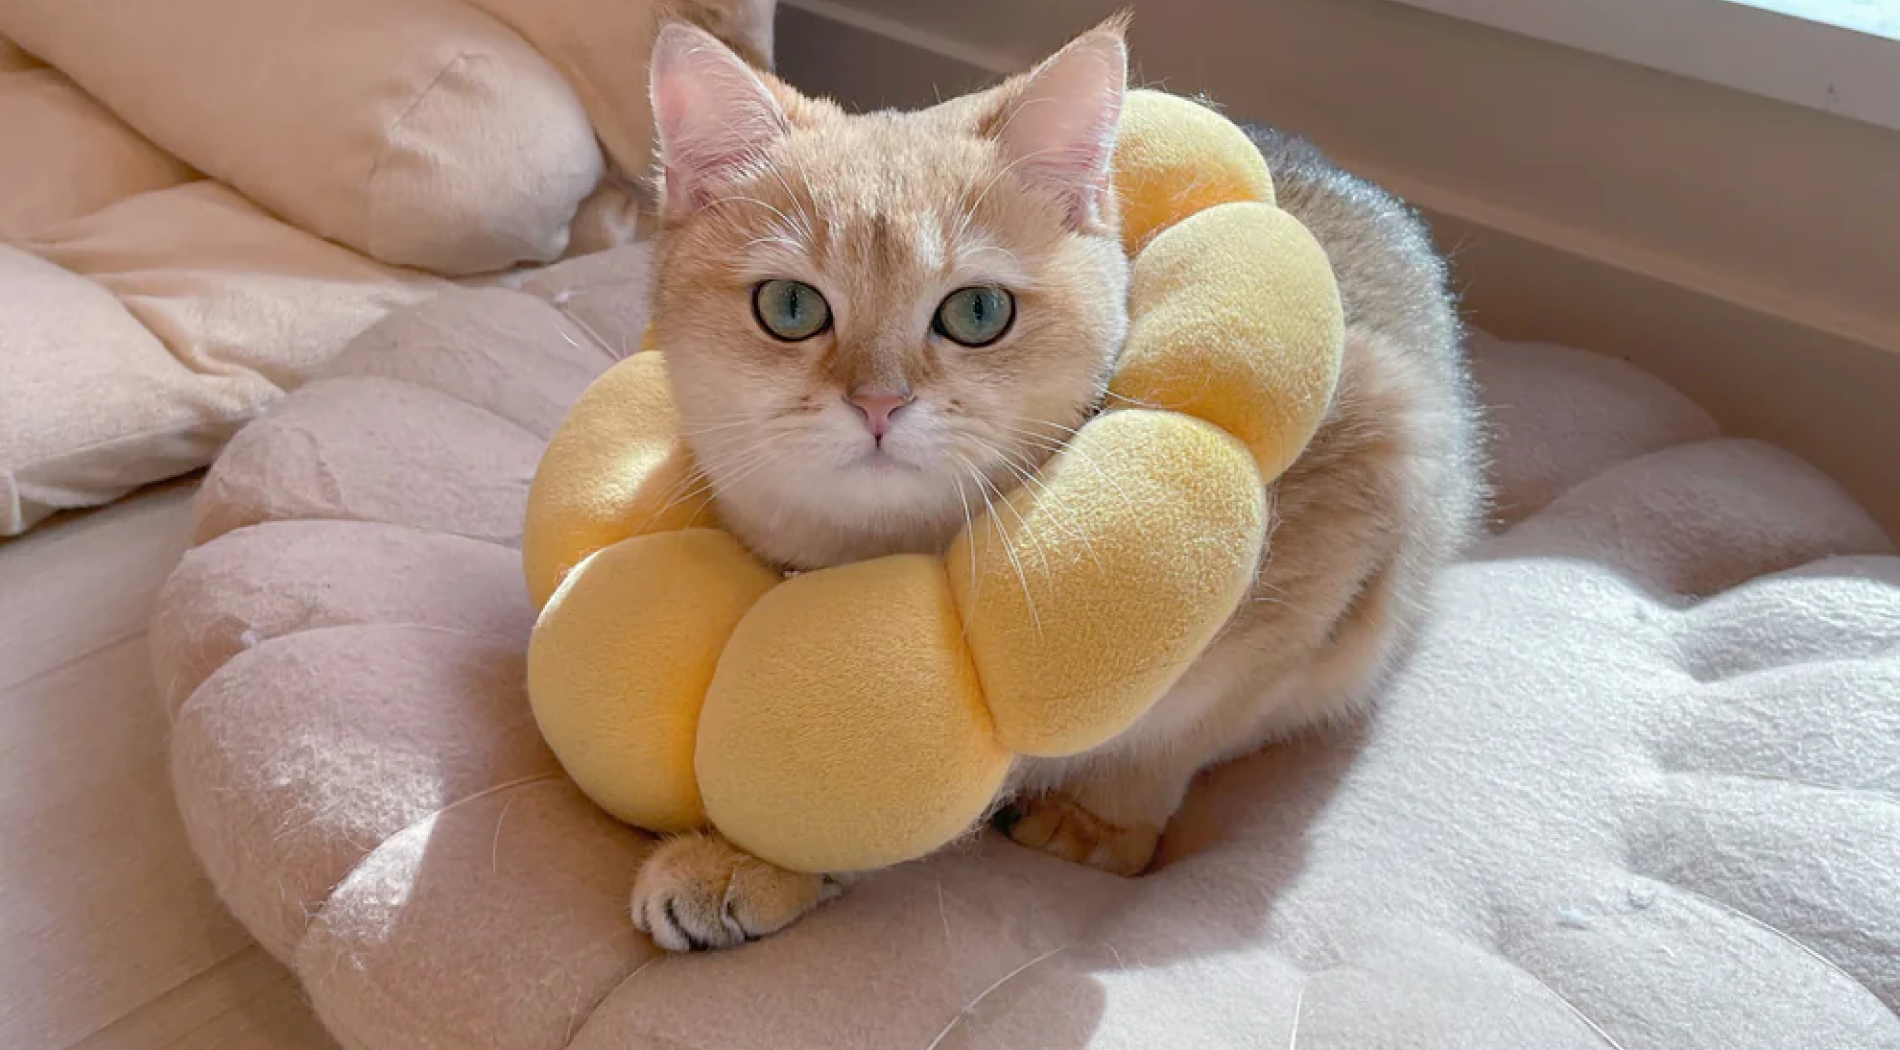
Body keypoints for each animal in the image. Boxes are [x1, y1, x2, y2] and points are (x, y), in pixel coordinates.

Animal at [623, 16, 1482, 949]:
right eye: (788, 308)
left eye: (977, 313)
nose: (880, 404)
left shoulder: (1369, 474)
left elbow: (1156, 741)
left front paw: (1098, 820)